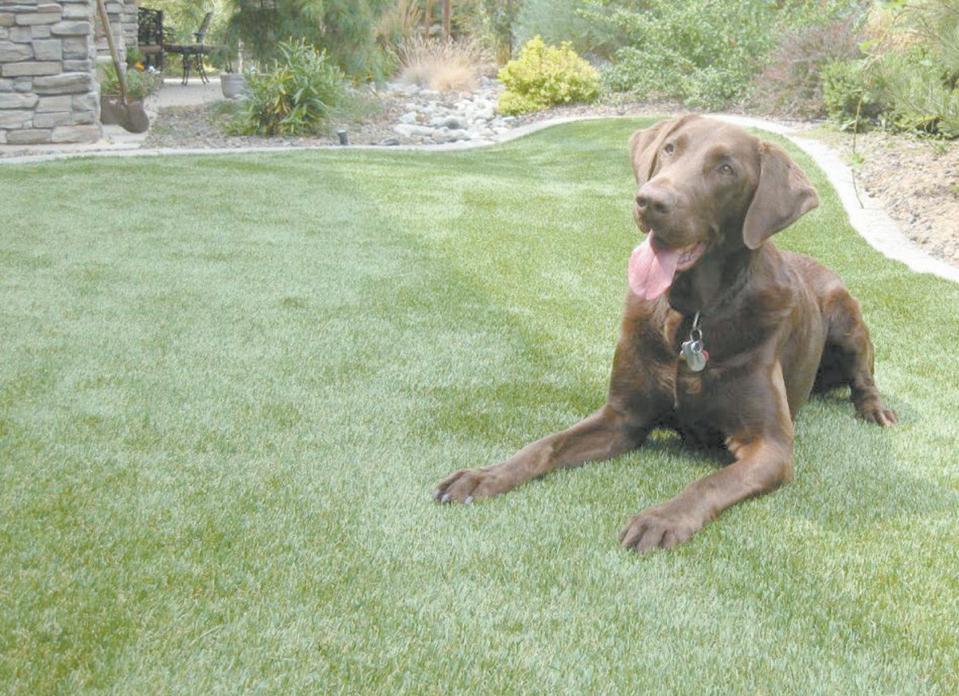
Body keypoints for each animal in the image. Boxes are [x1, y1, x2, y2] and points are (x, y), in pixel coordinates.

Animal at [433, 115, 897, 553]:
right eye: (671, 148)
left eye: (726, 168)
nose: (650, 201)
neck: (692, 318)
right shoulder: (621, 417)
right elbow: (545, 444)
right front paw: (484, 476)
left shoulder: (771, 447)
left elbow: (709, 482)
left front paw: (661, 518)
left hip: (846, 316)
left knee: (865, 377)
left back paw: (875, 410)